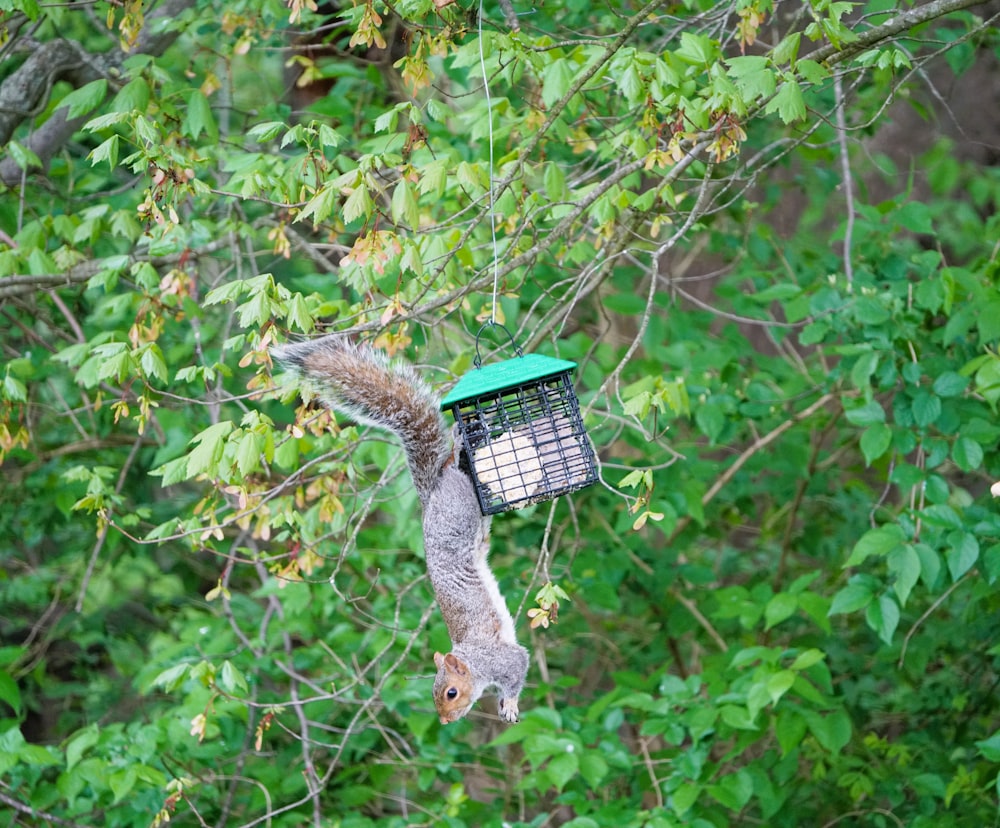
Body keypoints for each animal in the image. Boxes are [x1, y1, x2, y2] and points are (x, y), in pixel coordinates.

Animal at [270, 336, 528, 724]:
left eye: (451, 692)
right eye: (437, 694)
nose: (444, 720)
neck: (474, 663)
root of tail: (432, 492)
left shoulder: (503, 659)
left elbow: (519, 667)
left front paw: (509, 704)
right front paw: (503, 704)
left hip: (460, 511)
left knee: (455, 466)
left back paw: (461, 443)